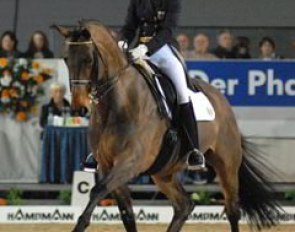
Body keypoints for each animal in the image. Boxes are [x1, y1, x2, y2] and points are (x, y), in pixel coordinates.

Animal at [53, 20, 282, 232]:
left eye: (88, 59)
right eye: (66, 59)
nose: (78, 109)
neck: (118, 104)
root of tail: (222, 101)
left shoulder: (130, 162)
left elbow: (97, 190)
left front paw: (80, 224)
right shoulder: (108, 165)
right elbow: (126, 213)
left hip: (226, 164)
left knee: (232, 208)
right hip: (164, 172)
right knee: (184, 206)